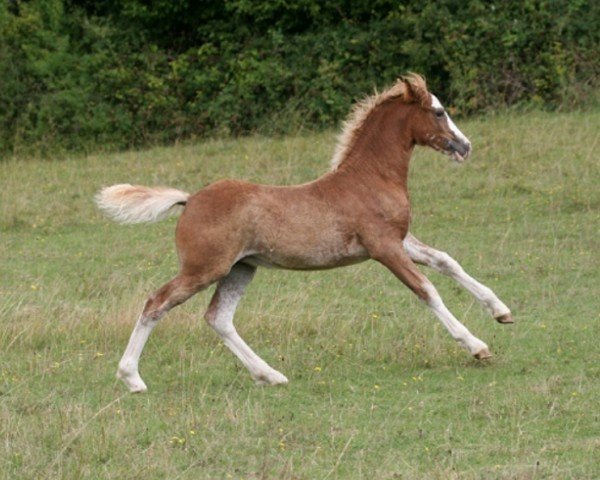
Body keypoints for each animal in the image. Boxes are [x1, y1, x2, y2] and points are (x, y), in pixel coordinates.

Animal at [97, 73, 510, 392]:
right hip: (203, 269)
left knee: (218, 318)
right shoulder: (384, 248)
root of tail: (190, 199)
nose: (465, 146)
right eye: (439, 112)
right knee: (156, 303)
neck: (370, 178)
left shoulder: (401, 240)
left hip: (241, 268)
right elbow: (428, 290)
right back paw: (132, 379)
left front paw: (502, 311)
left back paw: (270, 375)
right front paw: (477, 346)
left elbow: (447, 261)